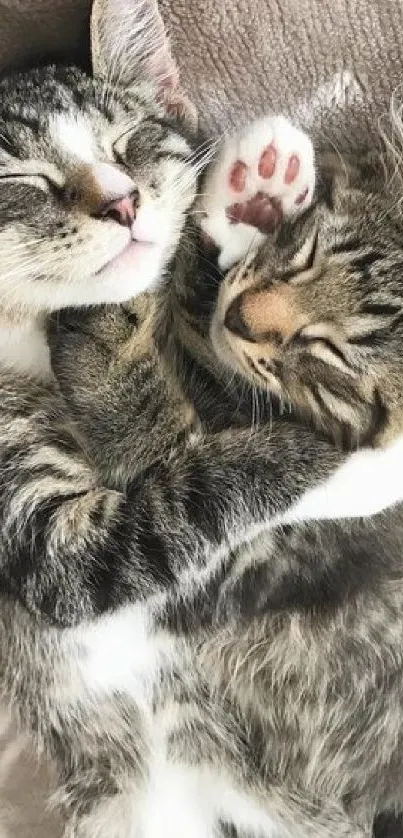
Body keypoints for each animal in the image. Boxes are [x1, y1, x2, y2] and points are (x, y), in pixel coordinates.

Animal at [2, 0, 403, 832]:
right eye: (22, 182)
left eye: (130, 143)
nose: (122, 201)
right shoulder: (61, 557)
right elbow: (189, 491)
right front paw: (369, 463)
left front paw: (243, 202)